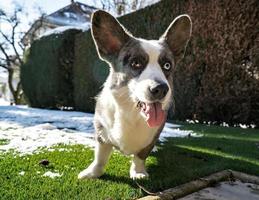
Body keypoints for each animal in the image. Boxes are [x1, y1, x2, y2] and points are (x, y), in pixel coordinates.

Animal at [78, 10, 192, 180]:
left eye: (167, 65)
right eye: (136, 63)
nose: (161, 89)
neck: (131, 112)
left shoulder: (151, 138)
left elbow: (140, 155)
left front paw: (138, 172)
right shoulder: (101, 131)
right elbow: (100, 156)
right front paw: (91, 173)